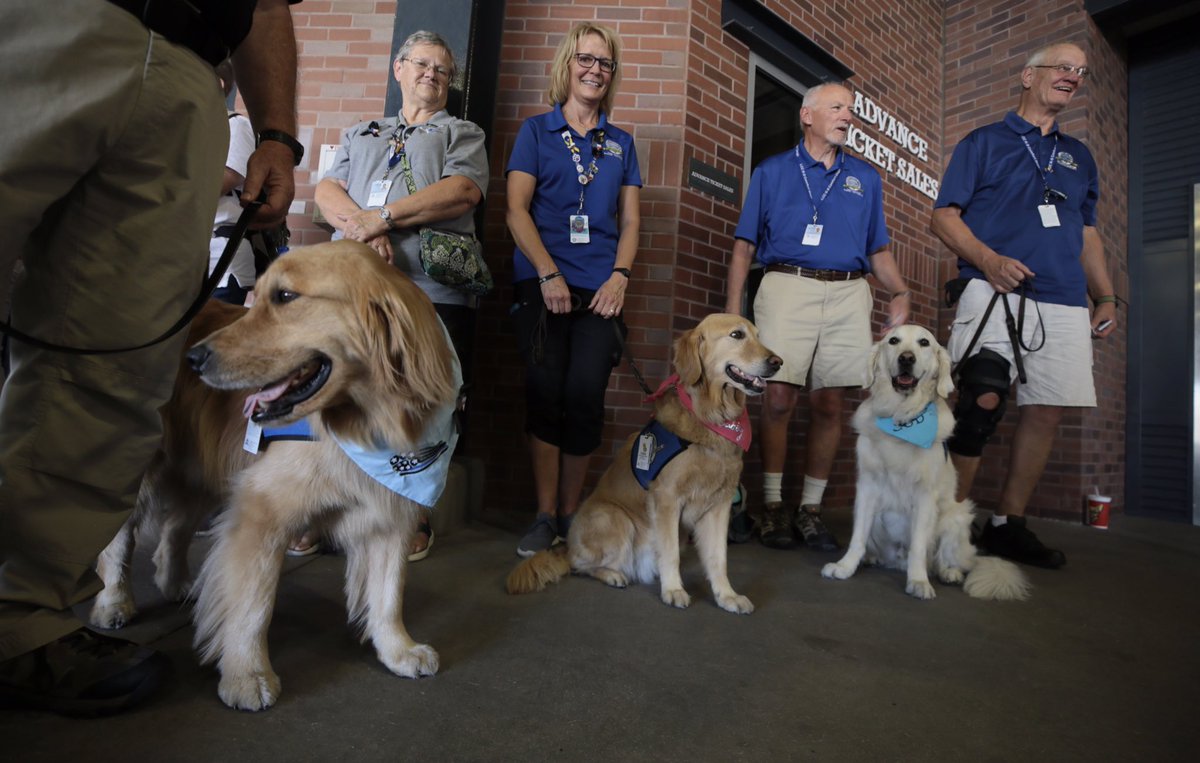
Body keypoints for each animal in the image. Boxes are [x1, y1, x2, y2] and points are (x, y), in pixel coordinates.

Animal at [90, 240, 461, 710]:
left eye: (285, 297)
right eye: (260, 296)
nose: (193, 358)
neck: (368, 424)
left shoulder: (391, 512)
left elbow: (389, 592)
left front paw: (398, 649)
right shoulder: (261, 507)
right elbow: (253, 602)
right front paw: (247, 674)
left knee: (174, 528)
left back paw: (176, 584)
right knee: (119, 539)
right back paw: (114, 601)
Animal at [506, 314, 782, 613]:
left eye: (757, 335)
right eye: (736, 335)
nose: (777, 362)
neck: (713, 419)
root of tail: (567, 547)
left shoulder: (719, 505)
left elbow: (718, 557)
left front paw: (726, 595)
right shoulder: (667, 499)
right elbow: (670, 552)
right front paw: (673, 589)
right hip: (615, 518)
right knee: (580, 565)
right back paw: (613, 574)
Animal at [820, 324, 1029, 601]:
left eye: (924, 343)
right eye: (893, 341)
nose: (906, 358)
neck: (901, 419)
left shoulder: (925, 496)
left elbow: (919, 546)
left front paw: (918, 581)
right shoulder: (867, 487)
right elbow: (858, 537)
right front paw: (845, 566)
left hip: (956, 517)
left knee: (944, 559)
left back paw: (949, 572)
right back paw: (872, 558)